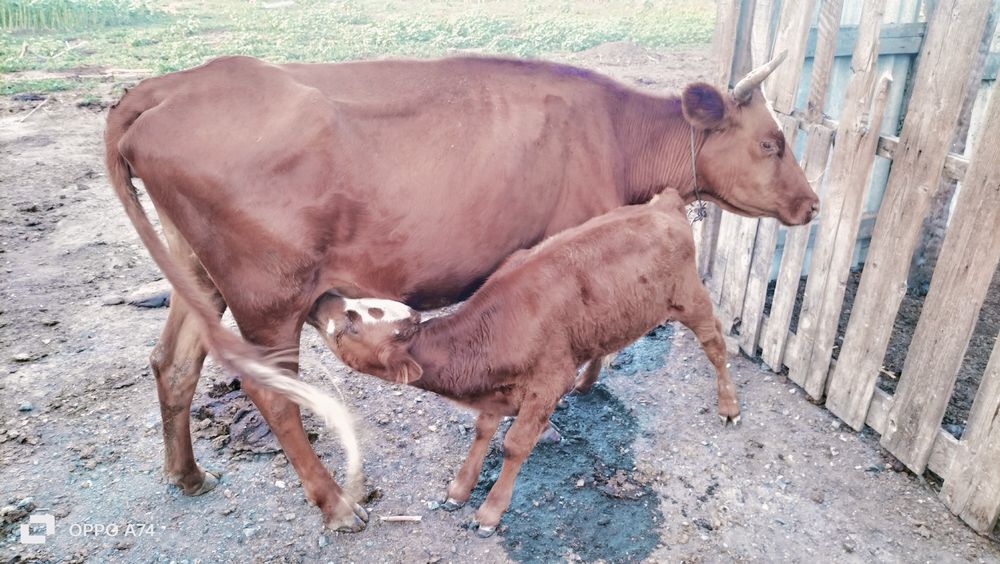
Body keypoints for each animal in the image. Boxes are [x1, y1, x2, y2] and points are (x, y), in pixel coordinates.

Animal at [308, 190, 733, 536]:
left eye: (350, 325)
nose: (320, 298)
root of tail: (664, 204)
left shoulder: (548, 382)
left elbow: (513, 445)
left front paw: (489, 513)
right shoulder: (498, 390)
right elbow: (482, 430)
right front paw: (459, 489)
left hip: (690, 299)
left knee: (716, 342)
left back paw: (729, 405)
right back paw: (587, 383)